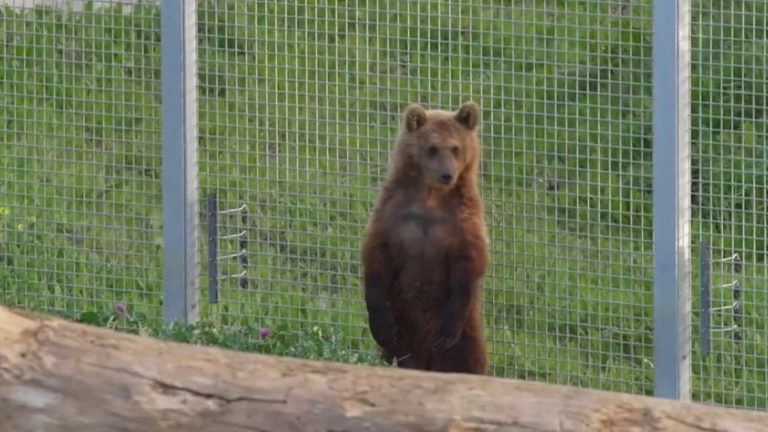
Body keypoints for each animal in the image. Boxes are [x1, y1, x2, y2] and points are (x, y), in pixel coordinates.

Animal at [358, 101, 486, 374]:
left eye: (456, 147)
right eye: (432, 148)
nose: (447, 175)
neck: (430, 198)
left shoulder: (462, 223)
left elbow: (468, 265)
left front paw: (445, 334)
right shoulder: (392, 215)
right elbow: (376, 256)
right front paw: (381, 325)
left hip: (467, 337)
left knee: (466, 361)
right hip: (404, 327)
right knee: (401, 355)